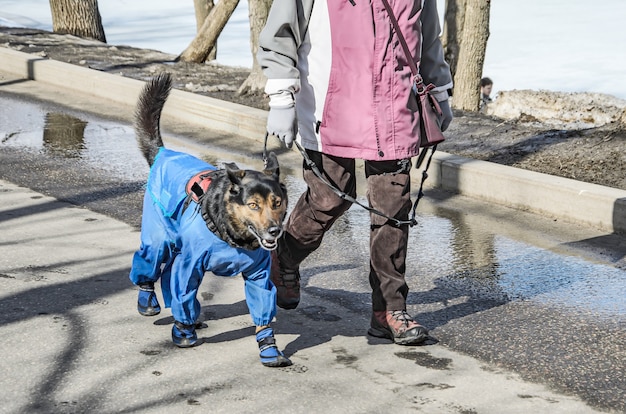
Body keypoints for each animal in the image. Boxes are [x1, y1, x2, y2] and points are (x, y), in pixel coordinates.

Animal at [130, 73, 292, 368]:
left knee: (168, 275)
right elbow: (183, 292)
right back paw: (150, 301)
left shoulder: (259, 275)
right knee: (151, 262)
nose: (274, 231)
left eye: (277, 203)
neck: (234, 235)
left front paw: (269, 348)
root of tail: (163, 154)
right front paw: (183, 332)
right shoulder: (189, 265)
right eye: (253, 205)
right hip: (160, 239)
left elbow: (263, 308)